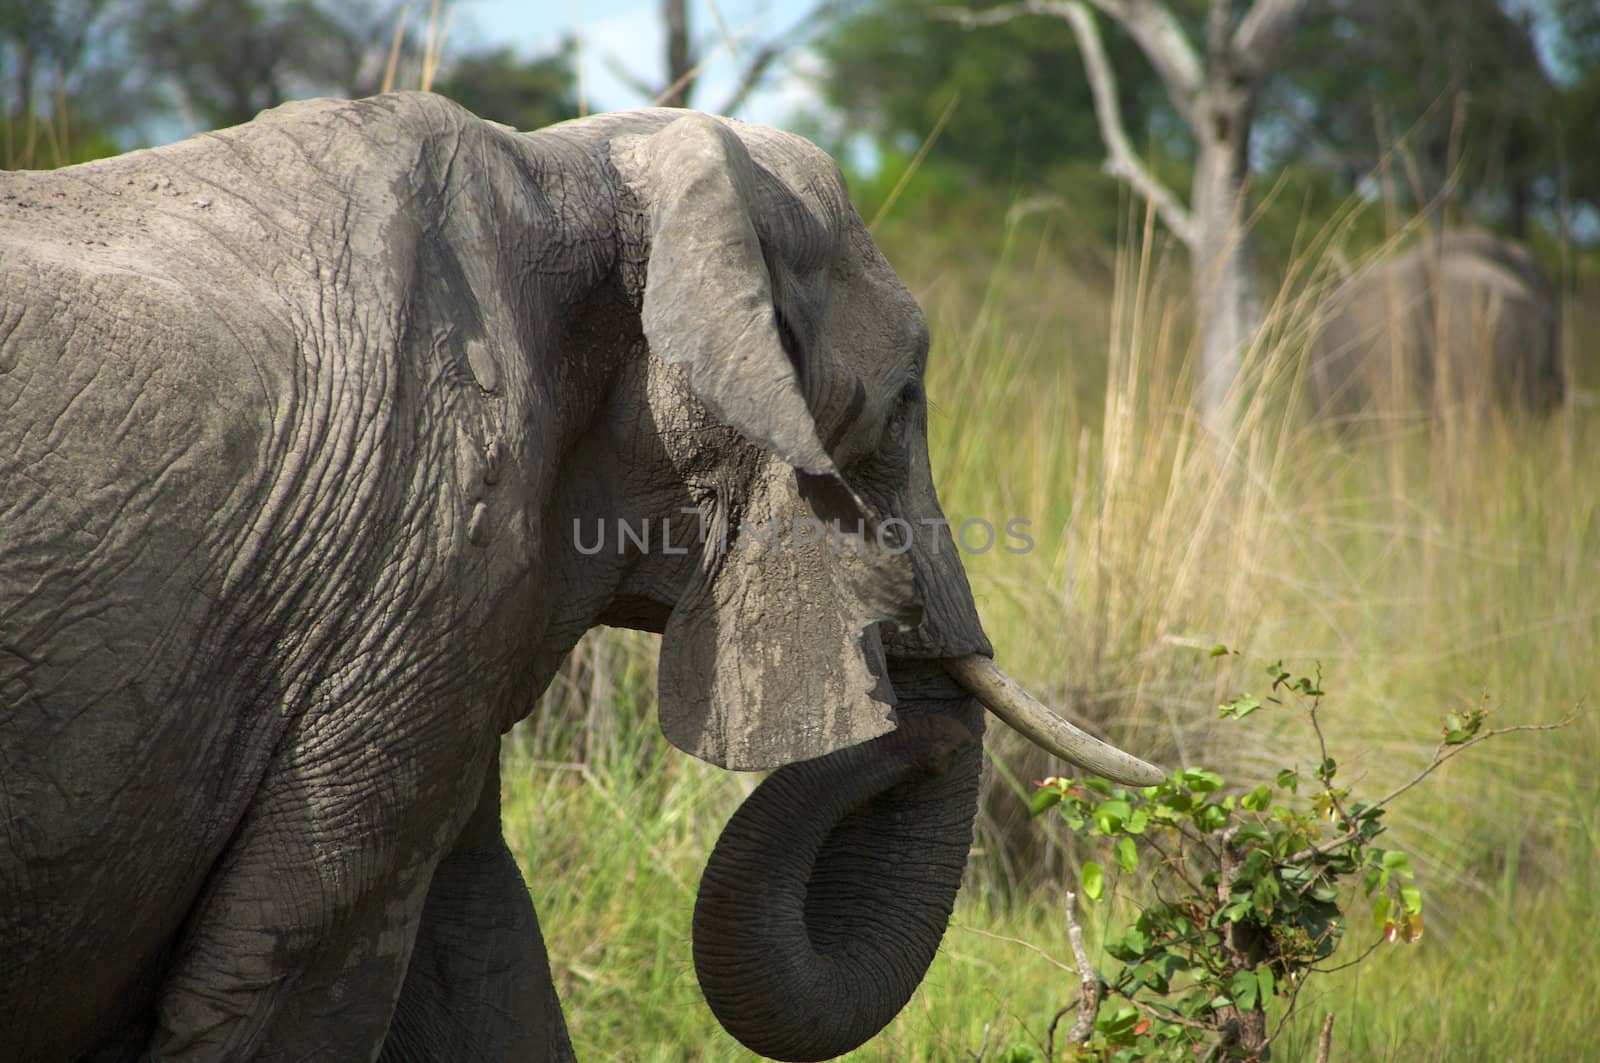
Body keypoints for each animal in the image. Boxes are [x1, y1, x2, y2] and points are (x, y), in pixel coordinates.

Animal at [0, 93, 1164, 1063]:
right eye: (903, 404)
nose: (922, 729)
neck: (585, 168)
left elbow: (477, 943)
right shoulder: (418, 556)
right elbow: (298, 956)